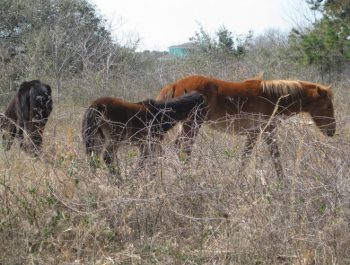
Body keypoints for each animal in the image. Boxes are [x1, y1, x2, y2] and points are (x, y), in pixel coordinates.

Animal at [82, 89, 213, 176]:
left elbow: (150, 161)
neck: (160, 113)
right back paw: (118, 179)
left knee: (94, 159)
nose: (197, 127)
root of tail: (96, 105)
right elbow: (148, 162)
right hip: (115, 139)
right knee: (107, 158)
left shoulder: (146, 144)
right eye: (203, 109)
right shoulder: (151, 143)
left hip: (98, 138)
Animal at [157, 74, 336, 177]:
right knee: (183, 149)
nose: (332, 131)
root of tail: (174, 84)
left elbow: (245, 157)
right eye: (328, 106)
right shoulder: (265, 132)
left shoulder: (254, 133)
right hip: (192, 125)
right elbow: (274, 157)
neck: (273, 97)